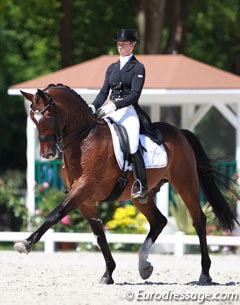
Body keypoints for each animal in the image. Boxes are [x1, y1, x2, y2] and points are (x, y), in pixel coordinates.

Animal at [14, 82, 238, 282]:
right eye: (33, 118)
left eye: (48, 116)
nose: (48, 154)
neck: (83, 139)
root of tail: (179, 132)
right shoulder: (85, 199)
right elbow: (98, 234)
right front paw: (108, 273)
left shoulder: (83, 188)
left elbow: (56, 214)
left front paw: (26, 243)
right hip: (139, 196)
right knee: (159, 221)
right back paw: (144, 266)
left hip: (185, 183)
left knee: (198, 220)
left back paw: (205, 273)